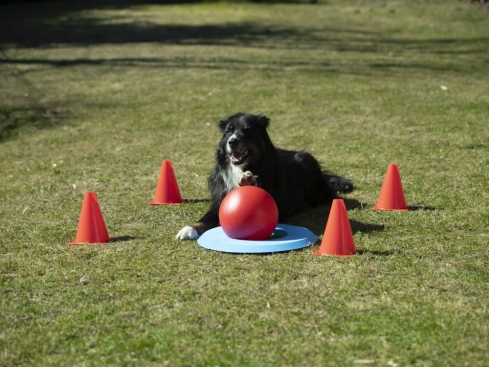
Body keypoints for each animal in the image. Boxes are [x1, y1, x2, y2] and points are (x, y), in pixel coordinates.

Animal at [175, 113, 350, 242]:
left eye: (247, 131)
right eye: (229, 131)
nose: (232, 142)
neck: (244, 167)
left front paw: (249, 181)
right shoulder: (220, 200)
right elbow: (206, 217)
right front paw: (189, 229)